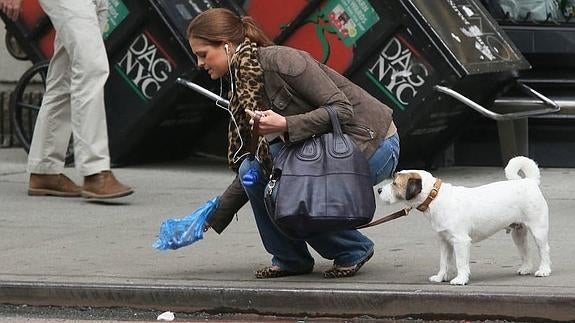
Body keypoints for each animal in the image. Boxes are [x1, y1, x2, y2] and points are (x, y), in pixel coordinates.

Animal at [380, 157, 552, 286]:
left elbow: (461, 262)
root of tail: (529, 182)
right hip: (518, 233)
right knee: (525, 249)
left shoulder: (460, 241)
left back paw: (544, 270)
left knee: (544, 249)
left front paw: (461, 279)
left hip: (538, 229)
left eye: (394, 183)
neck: (435, 197)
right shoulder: (444, 241)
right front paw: (441, 277)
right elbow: (443, 262)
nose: (379, 190)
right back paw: (526, 268)